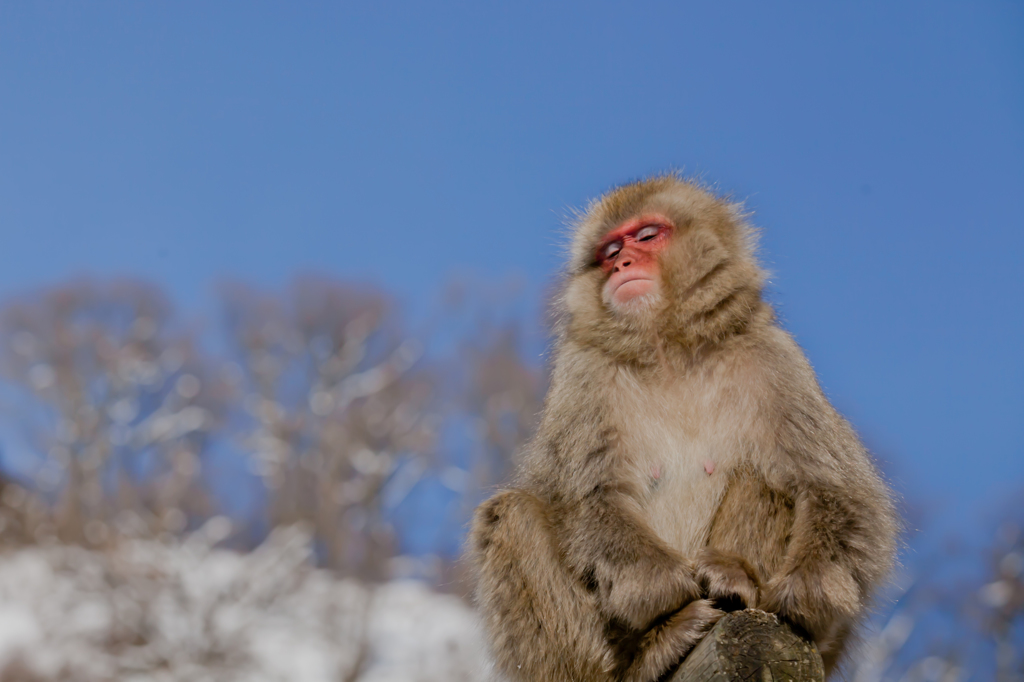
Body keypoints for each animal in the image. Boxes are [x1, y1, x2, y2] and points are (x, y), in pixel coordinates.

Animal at [468, 175, 897, 679]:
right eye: (610, 250)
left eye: (647, 235)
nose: (622, 263)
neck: (671, 348)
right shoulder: (583, 375)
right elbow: (587, 496)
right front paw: (665, 588)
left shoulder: (777, 357)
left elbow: (835, 488)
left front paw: (801, 595)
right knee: (509, 514)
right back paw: (647, 654)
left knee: (768, 478)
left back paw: (736, 582)